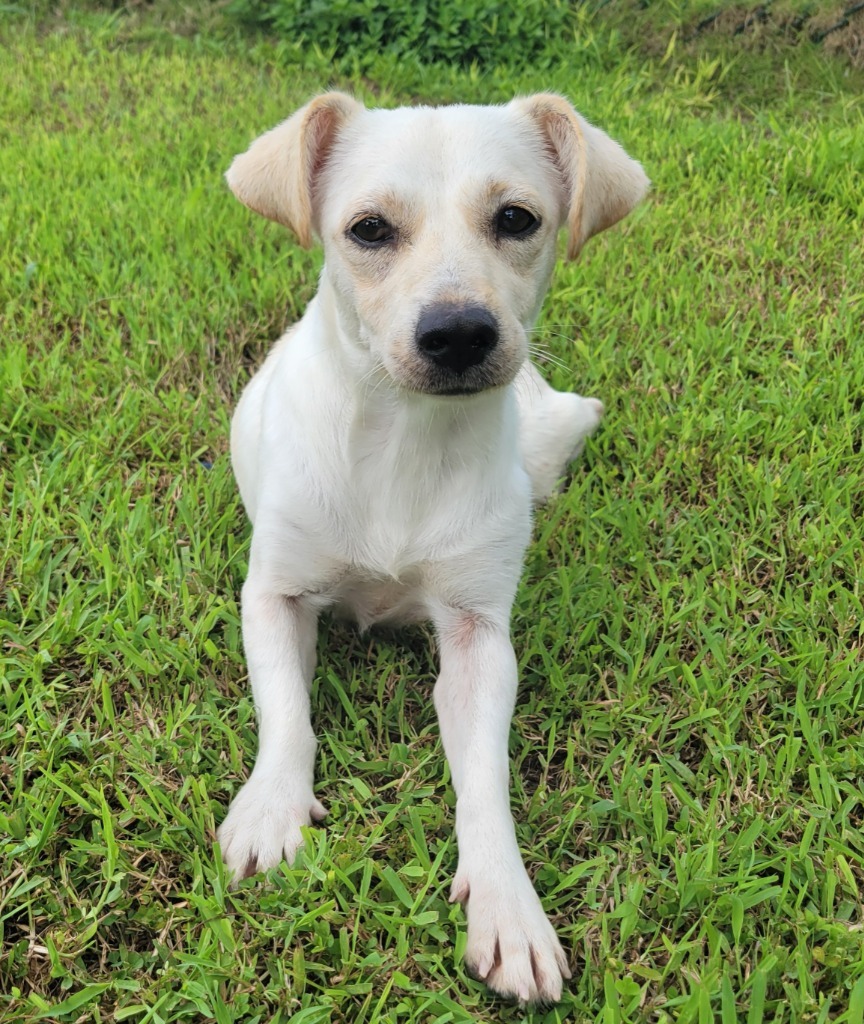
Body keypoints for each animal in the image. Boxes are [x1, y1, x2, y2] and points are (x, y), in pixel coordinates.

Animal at [216, 92, 646, 1003]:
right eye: (369, 229)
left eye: (517, 218)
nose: (459, 334)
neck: (403, 442)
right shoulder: (274, 594)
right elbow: (286, 711)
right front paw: (272, 806)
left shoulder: (479, 635)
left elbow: (484, 776)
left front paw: (507, 904)